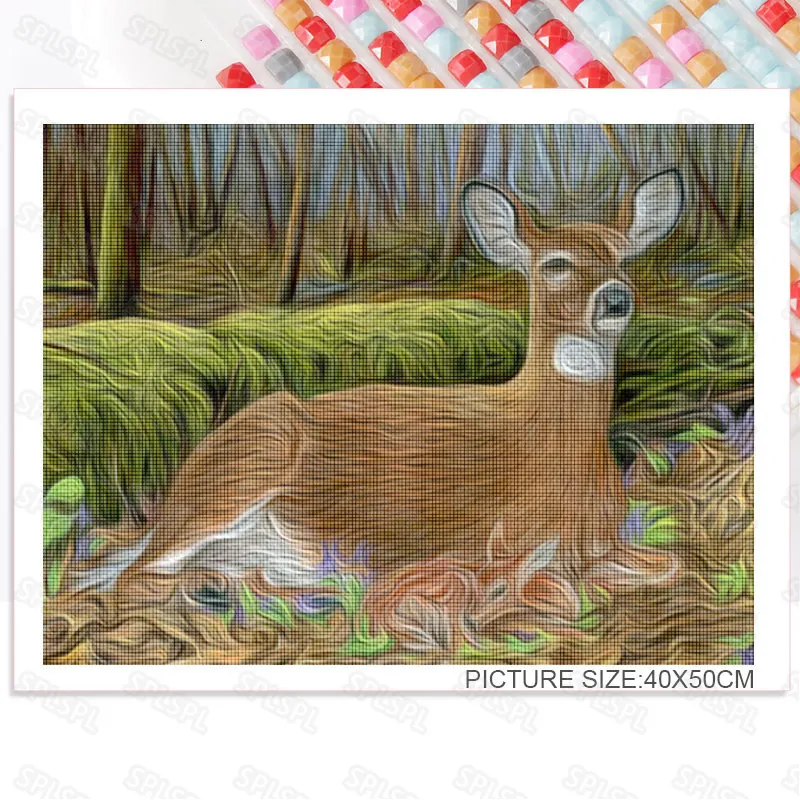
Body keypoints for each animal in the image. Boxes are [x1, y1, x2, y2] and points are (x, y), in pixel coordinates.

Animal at [76, 169, 685, 609]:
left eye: (624, 257)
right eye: (555, 263)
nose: (616, 298)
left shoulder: (606, 537)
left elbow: (669, 564)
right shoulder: (501, 538)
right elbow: (519, 583)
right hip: (252, 454)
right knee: (130, 577)